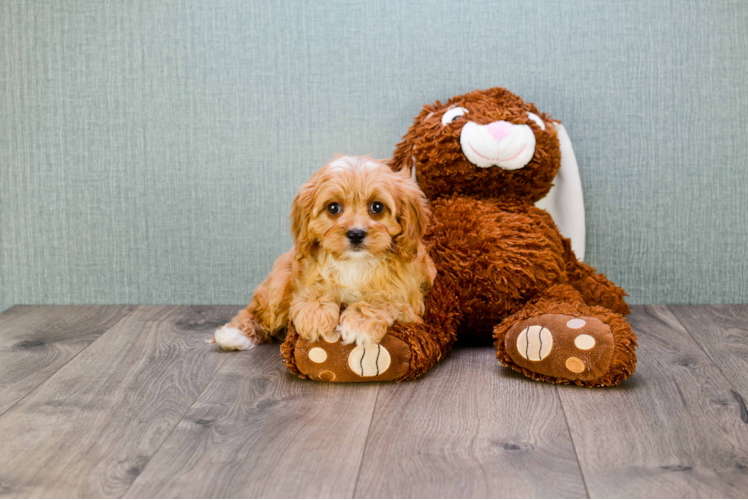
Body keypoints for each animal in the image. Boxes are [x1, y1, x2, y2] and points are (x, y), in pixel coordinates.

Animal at [210, 154, 436, 350]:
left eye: (377, 207)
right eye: (333, 208)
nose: (356, 234)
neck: (355, 263)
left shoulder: (409, 301)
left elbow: (384, 300)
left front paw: (358, 323)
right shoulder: (304, 275)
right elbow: (313, 290)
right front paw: (315, 316)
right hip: (279, 284)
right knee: (259, 312)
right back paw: (234, 334)